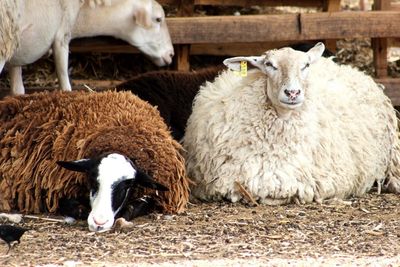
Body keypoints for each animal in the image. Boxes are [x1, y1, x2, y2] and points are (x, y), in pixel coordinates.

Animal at [1, 0, 173, 96]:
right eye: (158, 19)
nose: (171, 54)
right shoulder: (62, 35)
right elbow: (64, 82)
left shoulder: (15, 50)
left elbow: (17, 91)